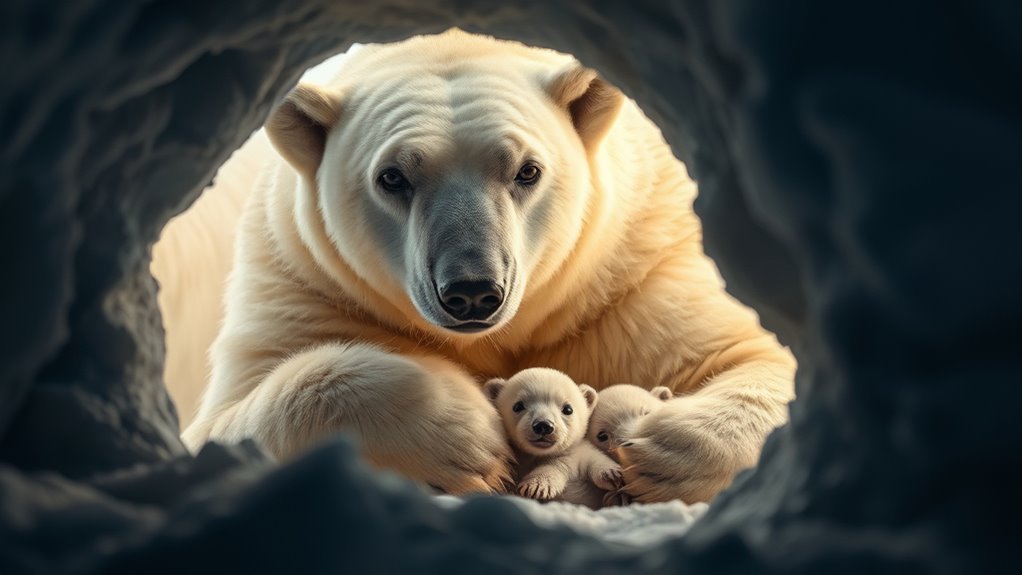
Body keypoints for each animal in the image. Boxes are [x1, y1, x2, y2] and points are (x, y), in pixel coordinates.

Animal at [484, 368, 623, 509]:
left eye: (568, 409)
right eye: (517, 406)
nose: (543, 425)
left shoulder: (577, 454)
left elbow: (591, 458)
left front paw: (612, 475)